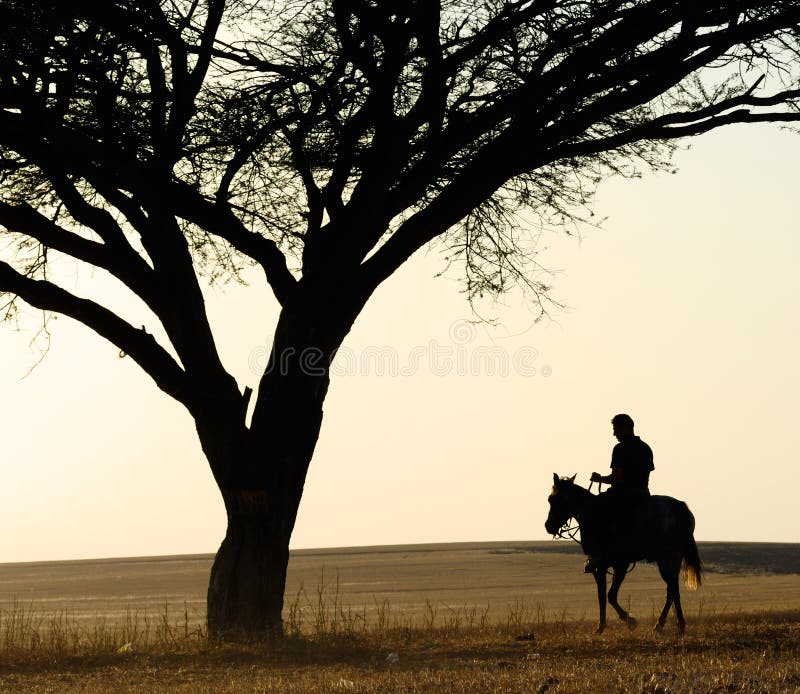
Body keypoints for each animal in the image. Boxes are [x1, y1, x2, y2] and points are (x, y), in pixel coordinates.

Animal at [540, 476, 704, 632]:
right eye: (549, 499)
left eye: (554, 499)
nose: (548, 526)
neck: (593, 514)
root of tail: (678, 507)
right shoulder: (610, 566)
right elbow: (606, 595)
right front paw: (611, 624)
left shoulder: (610, 565)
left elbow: (608, 595)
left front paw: (623, 622)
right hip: (675, 558)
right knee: (671, 589)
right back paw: (660, 625)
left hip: (664, 559)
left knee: (673, 587)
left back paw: (679, 625)